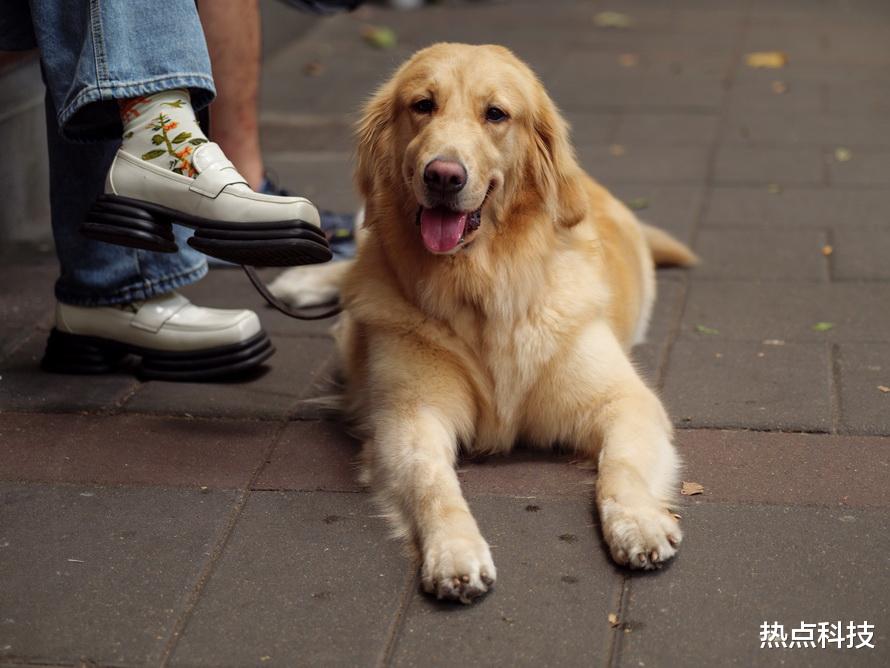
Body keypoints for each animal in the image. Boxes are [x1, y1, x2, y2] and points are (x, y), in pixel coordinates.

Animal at [268, 43, 692, 604]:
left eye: (496, 114)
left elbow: (619, 467)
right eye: (423, 105)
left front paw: (639, 522)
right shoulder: (409, 416)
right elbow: (433, 484)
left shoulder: (625, 401)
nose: (443, 175)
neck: (481, 286)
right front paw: (454, 551)